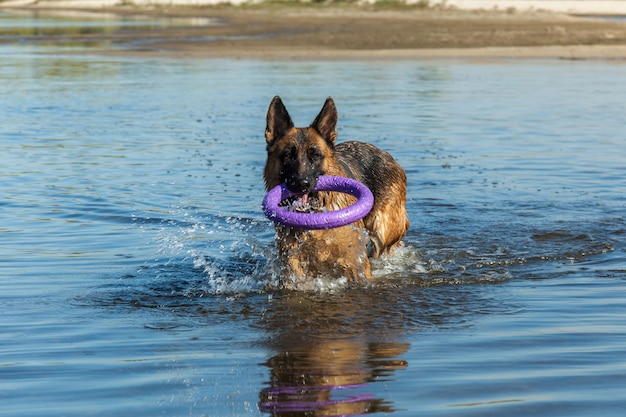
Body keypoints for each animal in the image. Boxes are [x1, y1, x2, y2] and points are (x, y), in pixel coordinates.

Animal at [264, 96, 410, 288]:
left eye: (315, 155)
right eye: (288, 155)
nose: (302, 183)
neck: (315, 218)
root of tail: (386, 155)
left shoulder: (354, 263)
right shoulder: (293, 266)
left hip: (383, 228)